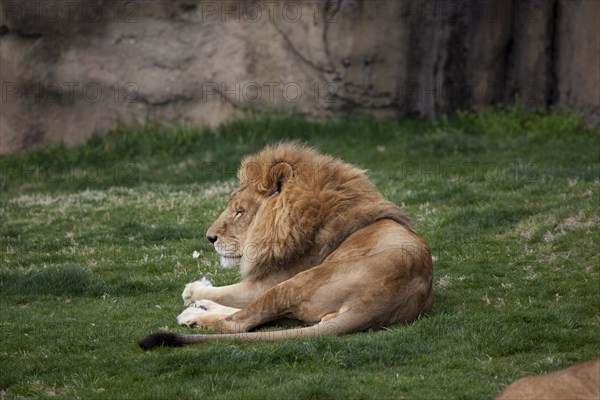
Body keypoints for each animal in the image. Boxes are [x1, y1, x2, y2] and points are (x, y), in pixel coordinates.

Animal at [139, 142, 434, 348]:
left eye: (240, 212)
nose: (210, 238)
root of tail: (377, 303)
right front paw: (199, 292)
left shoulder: (269, 280)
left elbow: (231, 293)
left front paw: (194, 291)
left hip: (295, 283)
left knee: (239, 323)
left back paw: (193, 316)